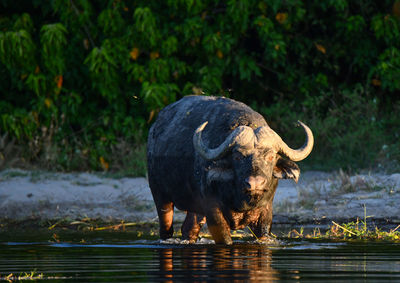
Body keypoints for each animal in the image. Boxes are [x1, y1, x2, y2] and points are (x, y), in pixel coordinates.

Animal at [147, 95, 312, 244]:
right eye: (237, 157)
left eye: (271, 156)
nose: (255, 183)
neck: (240, 199)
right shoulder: (214, 213)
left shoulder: (265, 213)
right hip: (160, 196)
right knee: (166, 228)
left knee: (189, 229)